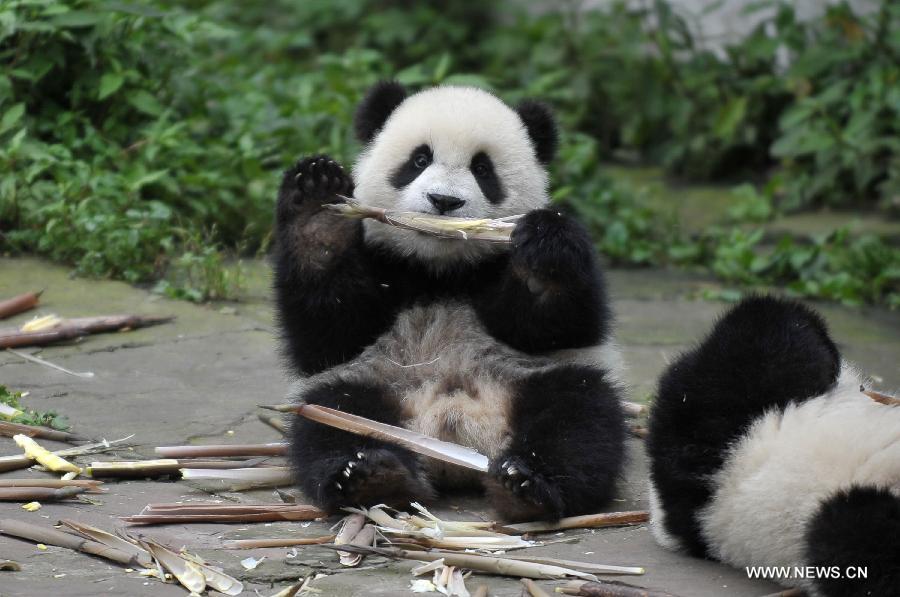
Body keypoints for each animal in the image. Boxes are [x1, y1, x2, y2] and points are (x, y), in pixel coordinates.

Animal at [272, 81, 627, 522]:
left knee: (579, 417)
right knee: (333, 419)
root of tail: (453, 433)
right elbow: (329, 335)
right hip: (371, 384)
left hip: (535, 379)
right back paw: (372, 477)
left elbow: (558, 326)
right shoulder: (384, 266)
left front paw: (543, 255)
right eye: (420, 159)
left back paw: (526, 484)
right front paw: (318, 213)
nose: (444, 201)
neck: (441, 268)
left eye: (483, 169)